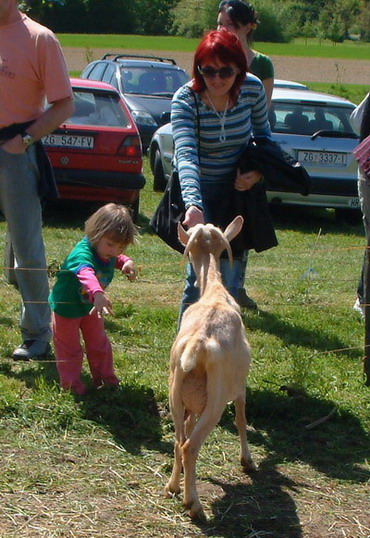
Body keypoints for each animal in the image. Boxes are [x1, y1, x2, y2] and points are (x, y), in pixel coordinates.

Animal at [164, 216, 254, 516]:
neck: (215, 292)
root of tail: (199, 344)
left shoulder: (190, 403)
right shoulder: (240, 387)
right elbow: (241, 419)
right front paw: (247, 460)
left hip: (174, 391)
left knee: (179, 440)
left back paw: (173, 487)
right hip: (216, 400)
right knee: (190, 446)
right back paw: (194, 505)